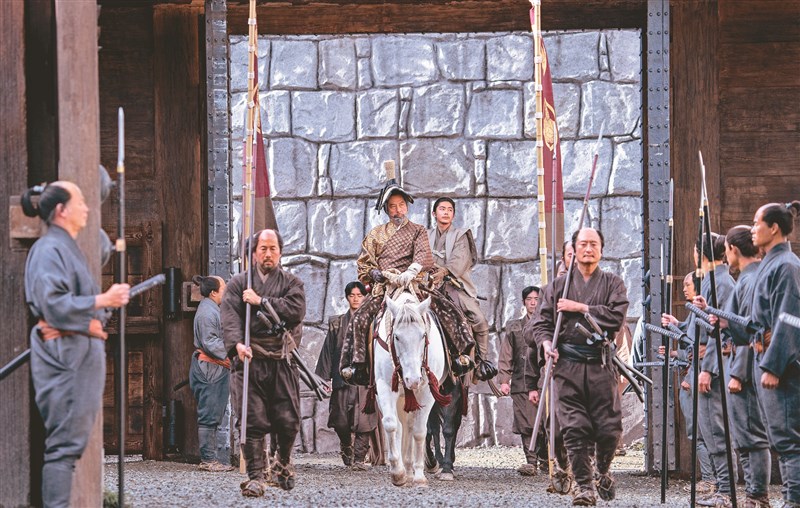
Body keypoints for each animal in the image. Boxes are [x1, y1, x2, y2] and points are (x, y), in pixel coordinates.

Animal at [372, 291, 450, 487]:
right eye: (397, 337)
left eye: (423, 335)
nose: (413, 379)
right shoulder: (384, 386)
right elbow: (391, 424)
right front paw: (397, 473)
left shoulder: (427, 392)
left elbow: (419, 431)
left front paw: (419, 476)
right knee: (401, 426)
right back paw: (404, 470)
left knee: (410, 426)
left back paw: (410, 469)